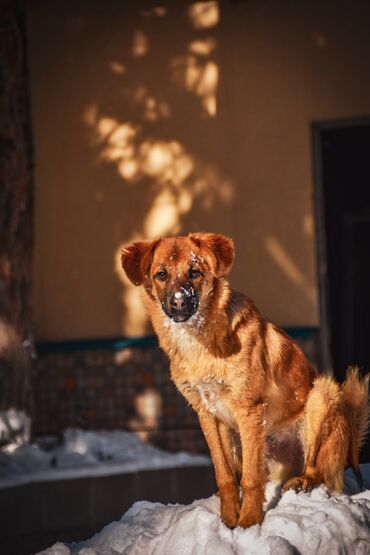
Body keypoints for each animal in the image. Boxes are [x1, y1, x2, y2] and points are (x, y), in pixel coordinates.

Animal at [120, 232, 368, 528]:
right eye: (161, 274)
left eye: (194, 272)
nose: (179, 302)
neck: (199, 342)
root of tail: (351, 449)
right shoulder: (206, 412)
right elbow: (225, 474)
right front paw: (228, 521)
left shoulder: (248, 409)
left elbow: (250, 478)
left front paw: (248, 522)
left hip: (322, 394)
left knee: (317, 469)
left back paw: (302, 481)